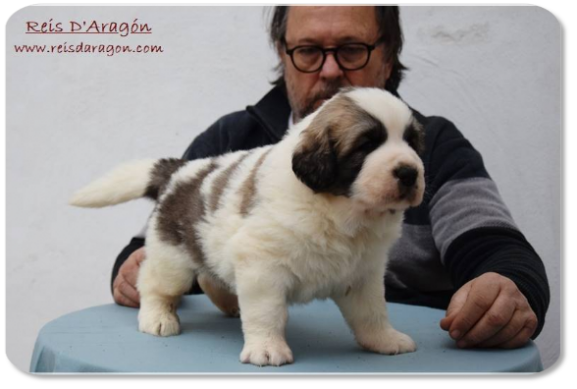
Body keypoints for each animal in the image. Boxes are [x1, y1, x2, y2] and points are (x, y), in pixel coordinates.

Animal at [71, 86, 424, 366]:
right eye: (366, 145)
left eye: (412, 143)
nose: (410, 172)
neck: (342, 212)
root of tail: (180, 169)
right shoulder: (262, 266)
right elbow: (267, 311)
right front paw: (266, 348)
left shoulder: (364, 273)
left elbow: (372, 311)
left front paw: (385, 339)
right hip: (172, 257)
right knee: (155, 284)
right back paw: (157, 317)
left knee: (210, 276)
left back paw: (230, 303)